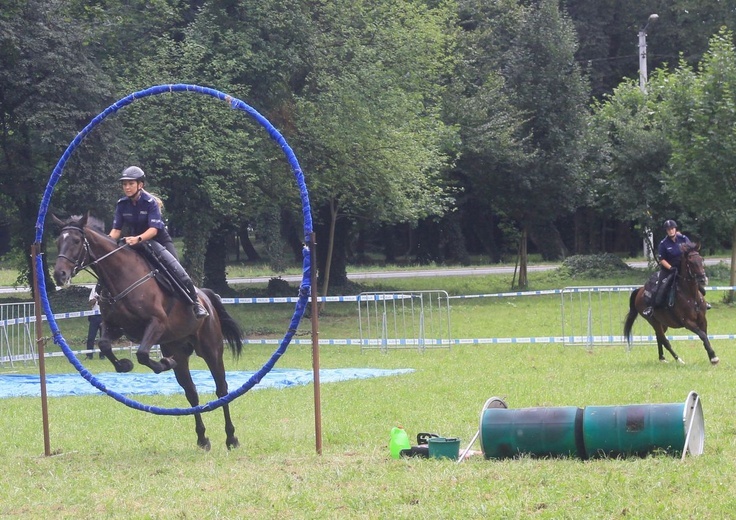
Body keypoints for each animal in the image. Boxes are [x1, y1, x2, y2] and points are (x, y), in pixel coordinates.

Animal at [53, 213, 247, 448]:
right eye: (58, 241)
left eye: (76, 241)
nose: (59, 274)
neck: (121, 276)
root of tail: (207, 298)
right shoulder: (112, 326)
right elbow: (105, 345)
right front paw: (125, 365)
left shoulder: (157, 323)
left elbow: (143, 354)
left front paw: (162, 364)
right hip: (178, 349)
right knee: (191, 393)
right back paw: (202, 438)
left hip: (211, 349)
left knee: (222, 389)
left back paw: (231, 437)